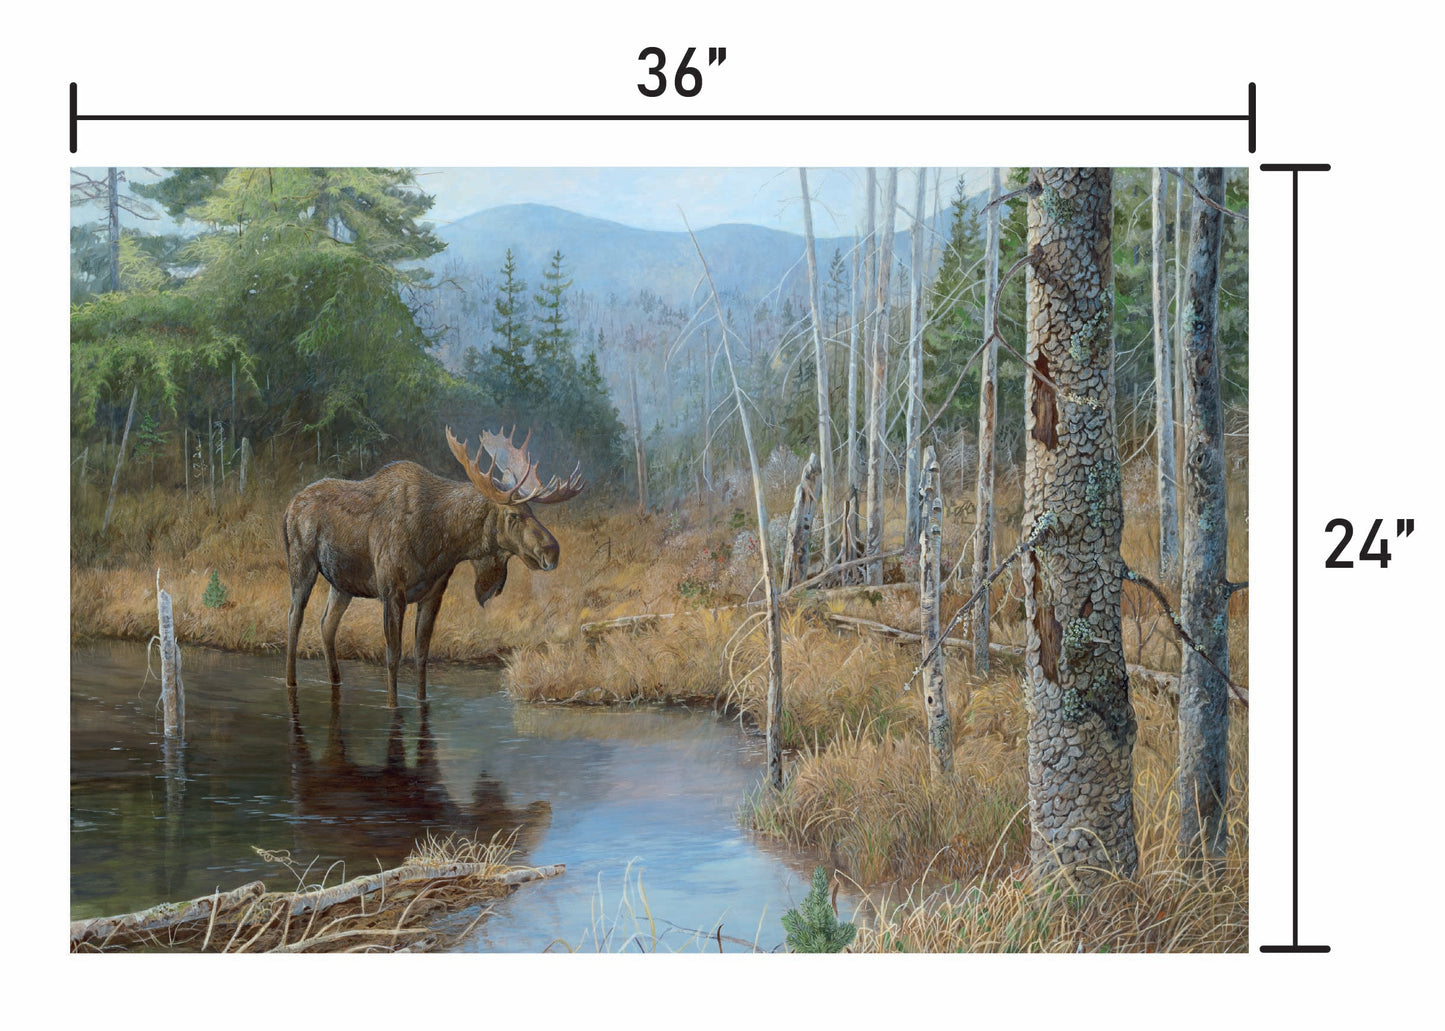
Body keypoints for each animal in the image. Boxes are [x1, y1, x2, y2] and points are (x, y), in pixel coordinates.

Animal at [283, 426, 585, 706]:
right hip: (302, 565)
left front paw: (421, 700)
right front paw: (392, 705)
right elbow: (393, 655)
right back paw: (291, 682)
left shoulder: (433, 593)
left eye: (532, 511)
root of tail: (289, 507)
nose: (552, 551)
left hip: (342, 584)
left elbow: (421, 655)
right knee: (294, 619)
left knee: (326, 624)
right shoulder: (392, 591)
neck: (444, 543)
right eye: (513, 514)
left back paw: (336, 681)